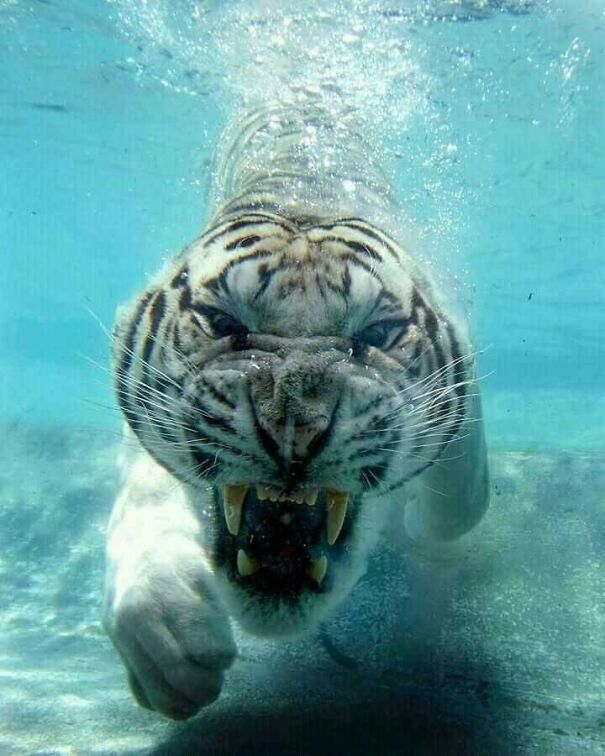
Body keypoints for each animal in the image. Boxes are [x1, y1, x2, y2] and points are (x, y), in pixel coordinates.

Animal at [102, 103, 489, 720]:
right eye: (222, 322)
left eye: (375, 334)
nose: (291, 428)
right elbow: (145, 496)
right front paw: (164, 643)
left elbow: (458, 505)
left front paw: (426, 537)